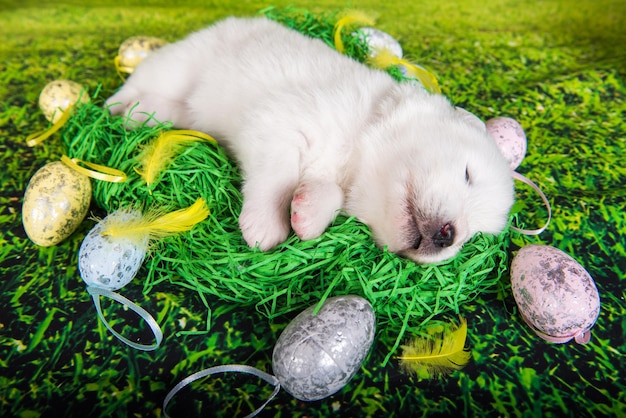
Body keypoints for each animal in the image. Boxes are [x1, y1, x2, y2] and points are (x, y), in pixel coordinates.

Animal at [106, 18, 512, 264]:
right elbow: (277, 176)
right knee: (142, 78)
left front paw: (308, 214)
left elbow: (326, 193)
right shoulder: (278, 123)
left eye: (473, 238)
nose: (449, 236)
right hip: (181, 62)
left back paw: (140, 113)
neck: (361, 138)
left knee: (172, 107)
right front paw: (266, 225)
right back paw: (116, 107)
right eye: (467, 174)